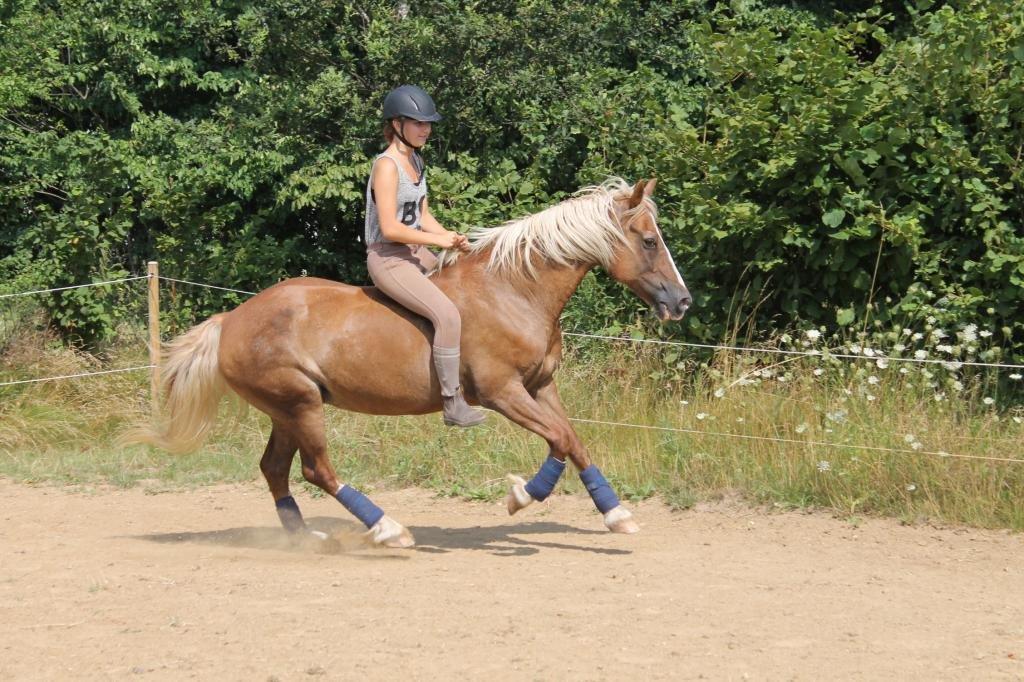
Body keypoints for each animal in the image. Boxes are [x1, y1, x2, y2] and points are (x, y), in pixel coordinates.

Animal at [128, 176, 688, 548]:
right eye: (648, 241)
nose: (683, 303)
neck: (514, 291)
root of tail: (232, 319)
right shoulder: (502, 392)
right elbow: (559, 440)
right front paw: (522, 497)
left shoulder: (540, 386)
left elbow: (572, 440)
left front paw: (616, 514)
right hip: (300, 404)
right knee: (316, 470)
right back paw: (387, 528)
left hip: (287, 409)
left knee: (275, 470)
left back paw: (306, 537)